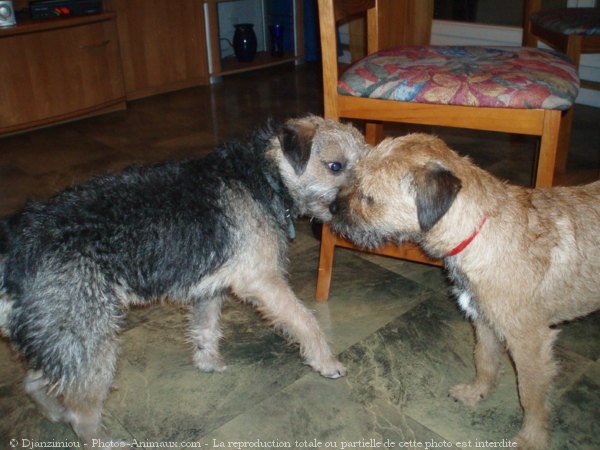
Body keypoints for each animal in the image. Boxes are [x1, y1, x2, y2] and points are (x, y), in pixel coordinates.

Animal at [0, 114, 366, 444]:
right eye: (335, 166)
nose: (363, 209)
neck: (265, 175)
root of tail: (13, 249)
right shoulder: (263, 281)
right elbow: (305, 319)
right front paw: (325, 360)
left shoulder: (209, 287)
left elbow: (206, 328)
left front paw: (207, 361)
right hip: (89, 341)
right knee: (81, 413)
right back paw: (102, 438)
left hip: (61, 339)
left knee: (38, 383)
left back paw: (54, 412)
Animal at [330, 134, 600, 450]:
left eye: (368, 197)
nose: (331, 208)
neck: (480, 229)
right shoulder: (483, 322)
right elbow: (484, 360)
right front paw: (477, 392)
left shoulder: (529, 341)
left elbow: (530, 395)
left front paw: (532, 438)